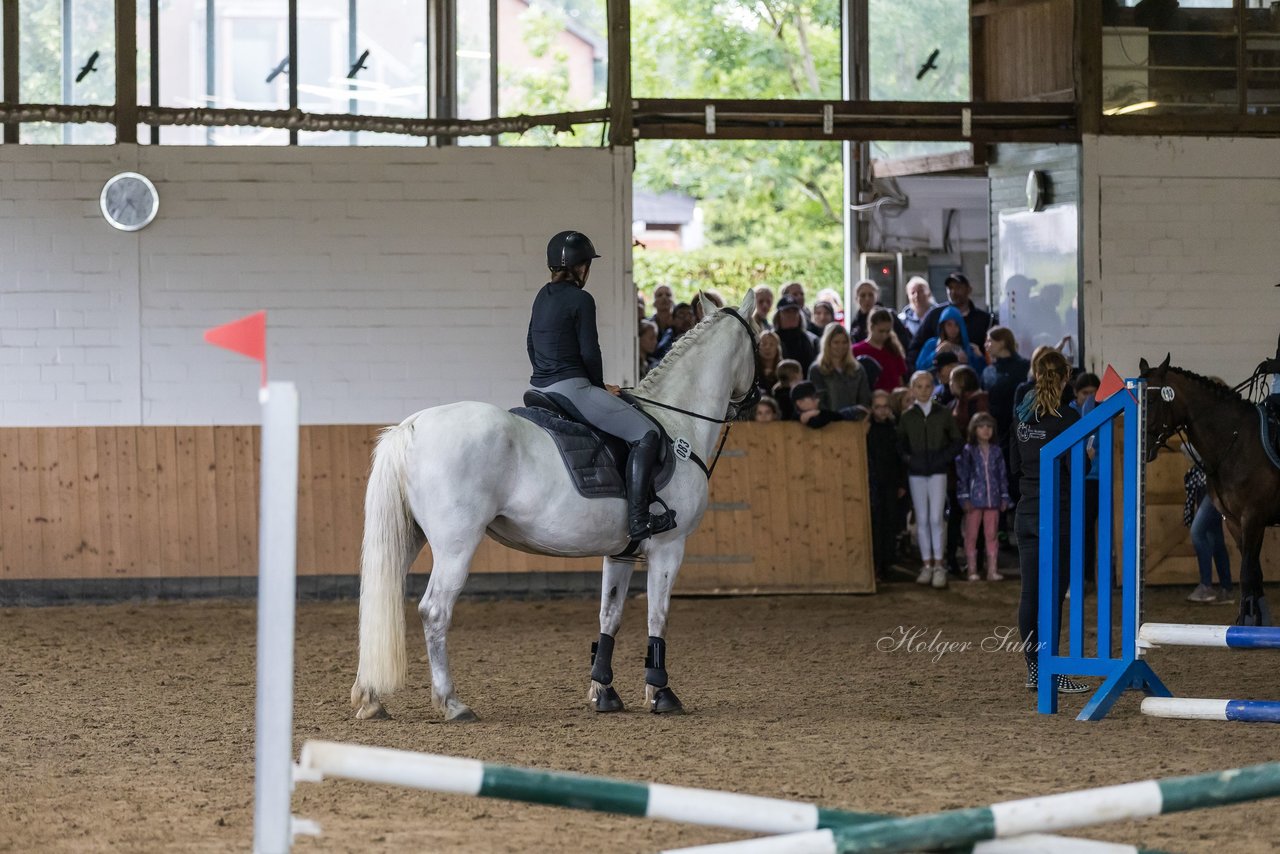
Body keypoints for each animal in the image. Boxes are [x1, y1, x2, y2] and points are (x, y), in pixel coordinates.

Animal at [350, 289, 757, 722]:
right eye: (758, 341)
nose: (753, 401)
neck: (677, 425)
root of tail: (410, 426)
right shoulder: (669, 548)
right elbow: (658, 615)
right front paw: (661, 693)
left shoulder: (622, 553)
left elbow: (609, 615)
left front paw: (603, 691)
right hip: (456, 544)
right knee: (434, 610)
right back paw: (452, 703)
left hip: (409, 538)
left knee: (378, 605)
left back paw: (371, 699)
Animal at [1141, 355, 1280, 627]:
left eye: (1151, 400)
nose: (1144, 448)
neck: (1236, 442)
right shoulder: (1234, 521)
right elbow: (1254, 574)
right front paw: (1254, 622)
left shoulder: (1252, 518)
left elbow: (1246, 573)